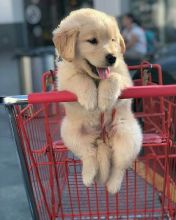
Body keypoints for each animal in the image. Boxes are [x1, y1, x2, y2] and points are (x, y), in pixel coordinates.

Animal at [53, 8, 142, 193]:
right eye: (92, 41)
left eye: (113, 40)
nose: (112, 57)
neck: (95, 78)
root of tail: (102, 137)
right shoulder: (64, 81)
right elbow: (79, 78)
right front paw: (90, 99)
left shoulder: (124, 77)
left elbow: (113, 77)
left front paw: (104, 100)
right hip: (70, 132)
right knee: (88, 155)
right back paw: (88, 176)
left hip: (128, 135)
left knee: (119, 166)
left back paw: (113, 186)